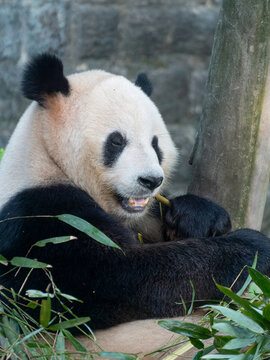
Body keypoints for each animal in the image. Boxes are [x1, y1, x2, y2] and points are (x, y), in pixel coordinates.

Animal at [0, 53, 270, 354]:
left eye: (155, 144)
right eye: (117, 141)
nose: (151, 180)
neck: (46, 159)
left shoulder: (144, 217)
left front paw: (199, 217)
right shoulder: (40, 221)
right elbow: (116, 279)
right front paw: (252, 247)